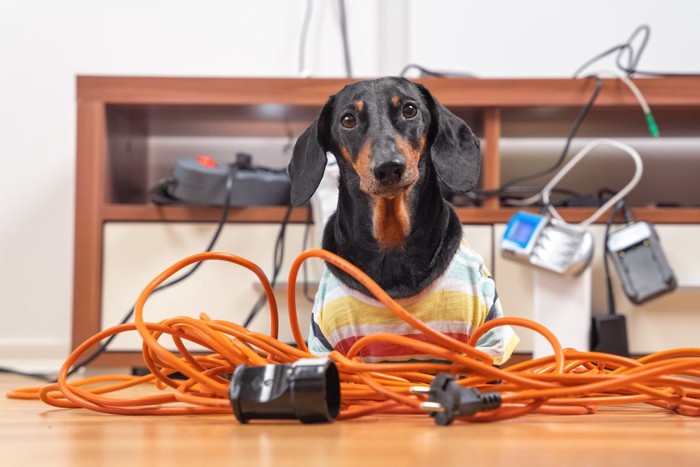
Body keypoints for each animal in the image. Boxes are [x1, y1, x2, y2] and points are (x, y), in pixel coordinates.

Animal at [288, 77, 516, 364]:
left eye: (410, 109)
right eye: (348, 119)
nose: (388, 167)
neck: (391, 240)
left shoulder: (486, 339)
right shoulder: (326, 343)